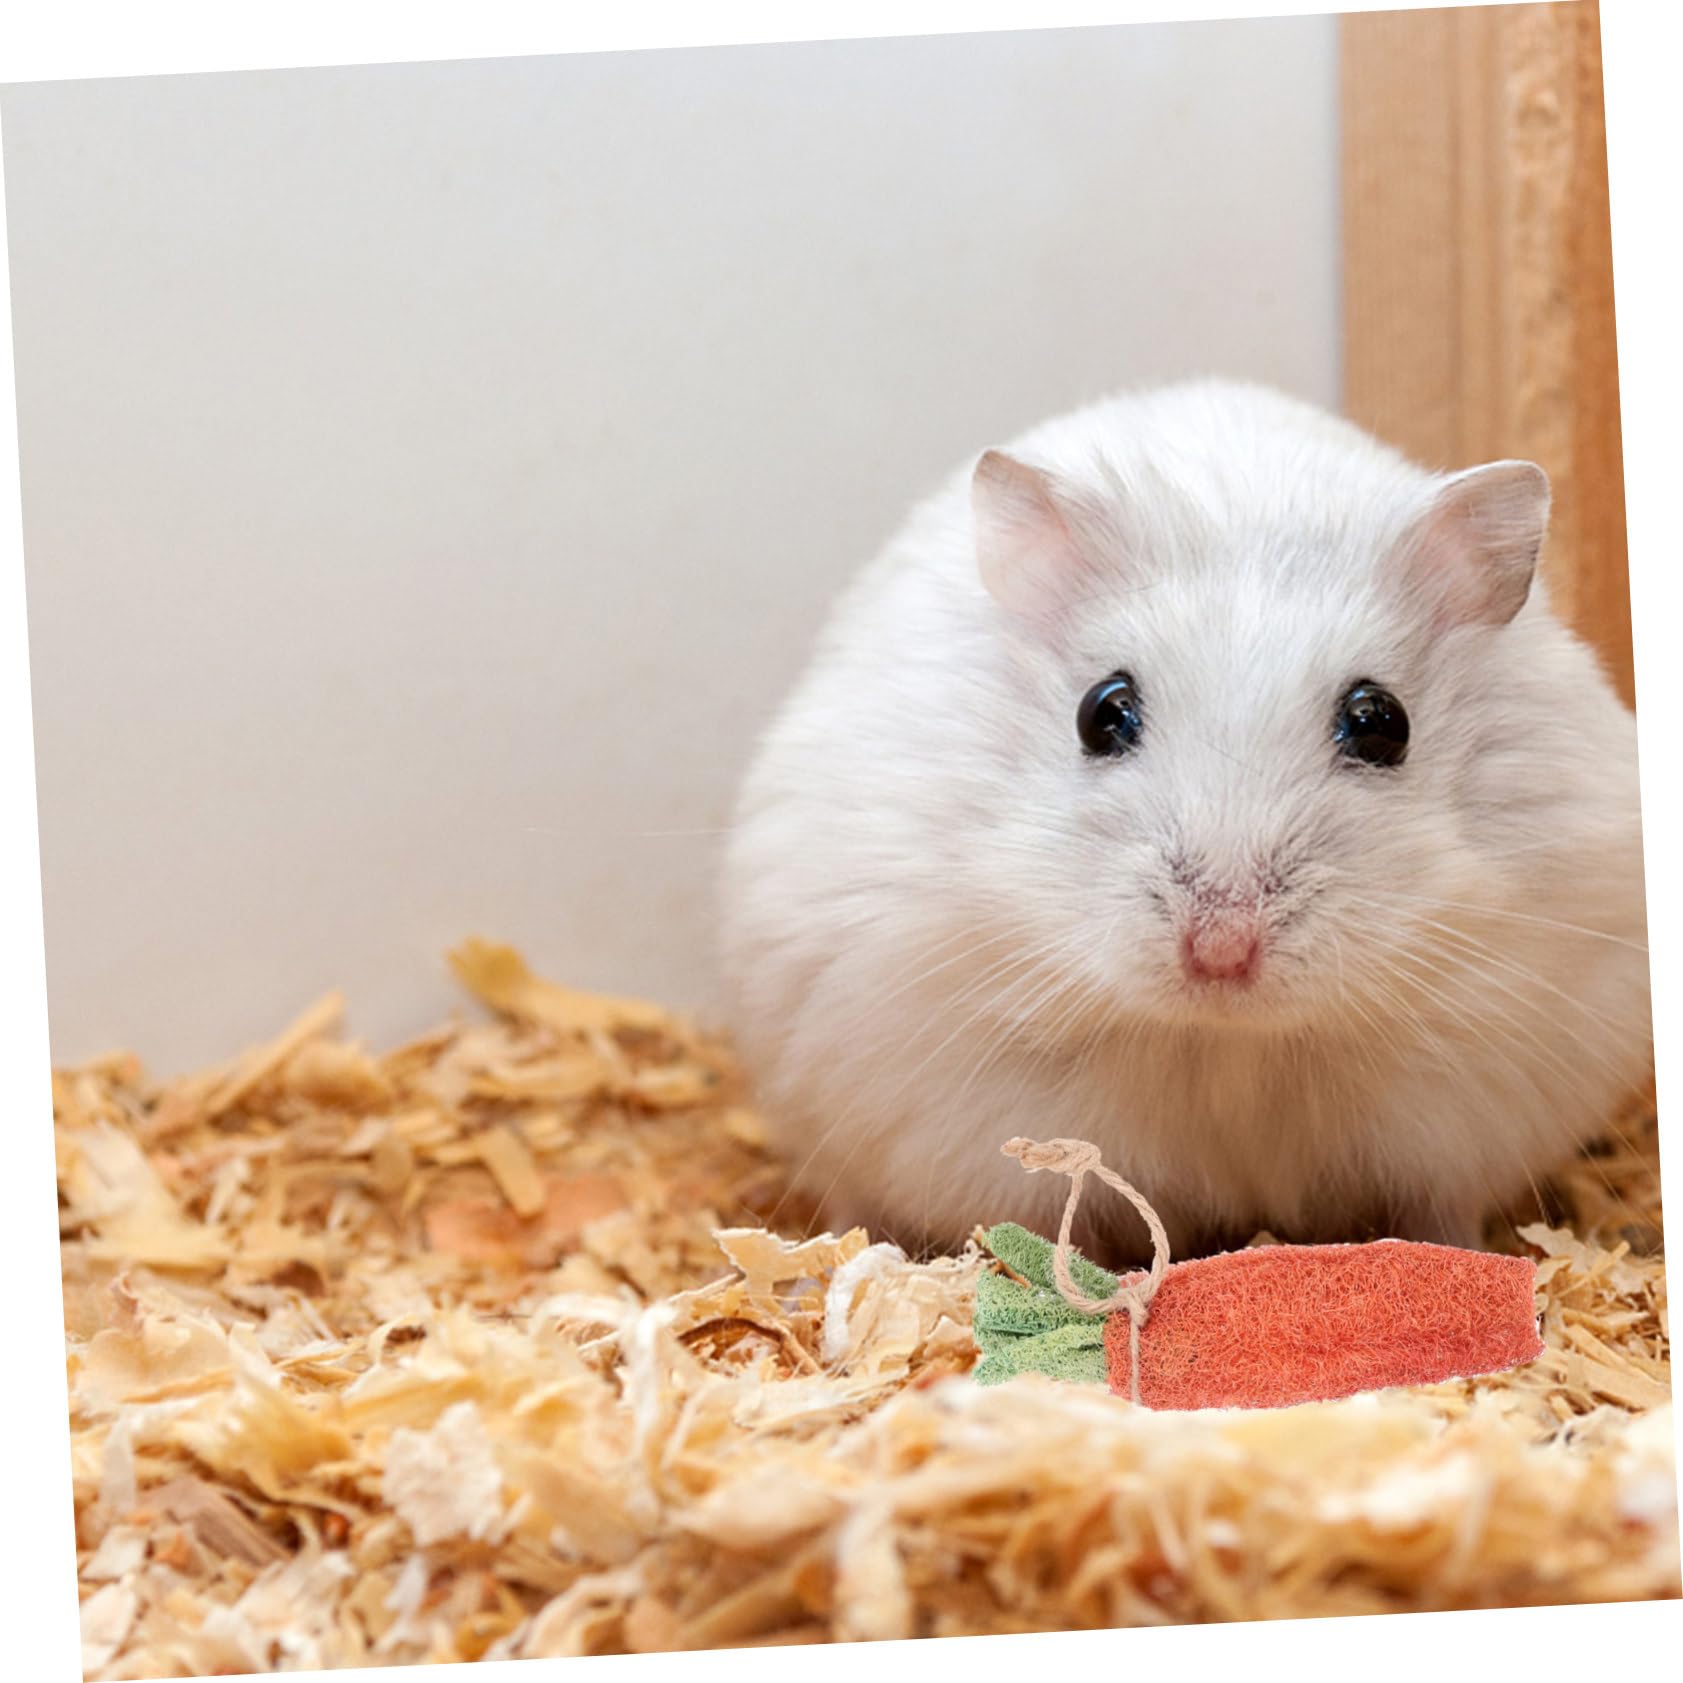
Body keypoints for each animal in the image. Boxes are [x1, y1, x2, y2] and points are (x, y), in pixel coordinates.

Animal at [718, 380, 1651, 1264]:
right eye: (1102, 711)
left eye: (1380, 721)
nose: (1221, 951)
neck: (1225, 1041)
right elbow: (1051, 1221)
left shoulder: (1470, 1097)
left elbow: (1433, 1212)